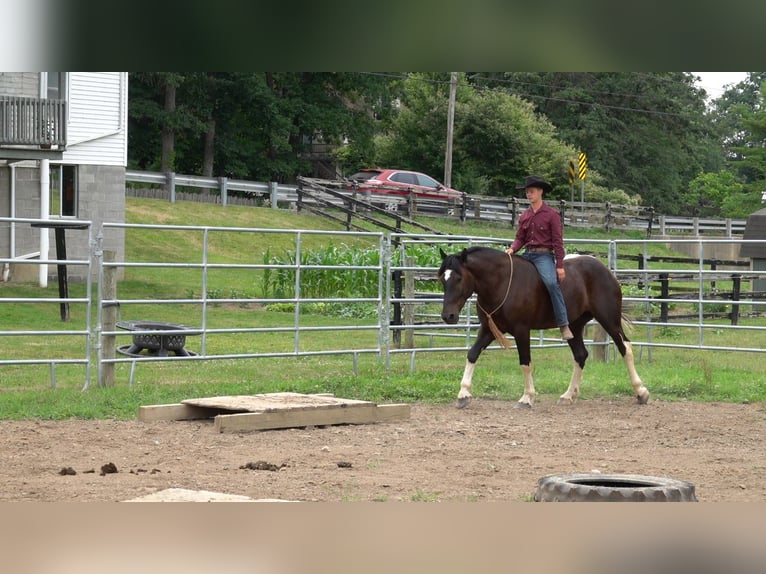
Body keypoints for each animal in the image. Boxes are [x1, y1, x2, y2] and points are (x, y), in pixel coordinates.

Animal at [440, 248, 652, 410]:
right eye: (442, 278)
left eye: (459, 278)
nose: (448, 316)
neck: (502, 282)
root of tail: (605, 270)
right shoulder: (488, 329)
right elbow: (472, 354)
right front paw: (463, 394)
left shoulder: (521, 330)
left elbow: (525, 362)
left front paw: (527, 398)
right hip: (574, 326)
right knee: (581, 355)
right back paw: (568, 395)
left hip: (608, 319)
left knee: (625, 348)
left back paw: (641, 392)